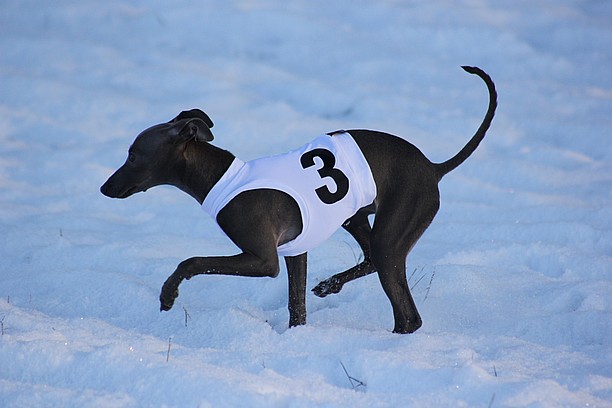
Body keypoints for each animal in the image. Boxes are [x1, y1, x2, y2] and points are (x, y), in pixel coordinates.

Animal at [98, 65, 494, 334]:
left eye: (132, 155)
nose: (103, 188)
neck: (225, 178)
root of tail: (433, 168)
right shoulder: (294, 251)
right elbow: (296, 306)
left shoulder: (263, 259)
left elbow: (192, 260)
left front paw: (168, 295)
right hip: (357, 220)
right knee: (369, 261)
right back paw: (330, 285)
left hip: (391, 235)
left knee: (408, 315)